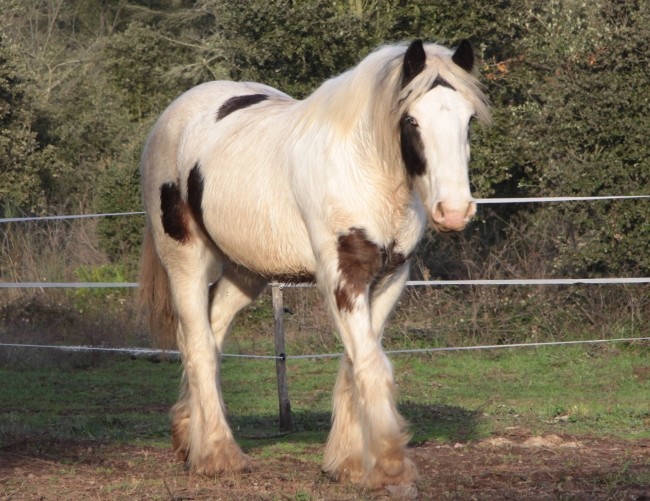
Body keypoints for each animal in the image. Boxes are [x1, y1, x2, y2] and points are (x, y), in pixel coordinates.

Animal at [139, 41, 488, 486]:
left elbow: (355, 364)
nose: (455, 211)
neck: (365, 171)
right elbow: (371, 364)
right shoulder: (344, 276)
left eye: (469, 120)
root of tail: (175, 114)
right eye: (412, 119)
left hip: (246, 272)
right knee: (198, 344)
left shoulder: (389, 279)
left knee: (208, 335)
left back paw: (189, 437)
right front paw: (389, 464)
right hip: (185, 259)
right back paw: (218, 454)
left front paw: (349, 463)